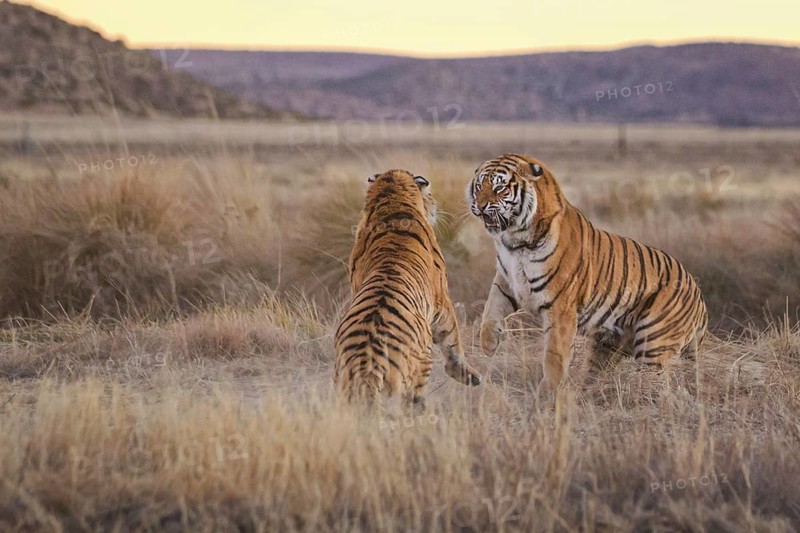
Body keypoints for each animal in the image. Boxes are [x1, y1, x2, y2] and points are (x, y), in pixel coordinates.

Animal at [334, 169, 482, 407]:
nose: (436, 204)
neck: (391, 201)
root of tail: (367, 365)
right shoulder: (442, 301)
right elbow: (452, 340)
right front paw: (469, 375)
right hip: (419, 366)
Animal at [467, 153, 708, 391]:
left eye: (500, 188)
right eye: (479, 186)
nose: (480, 206)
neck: (515, 242)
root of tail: (699, 296)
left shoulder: (560, 306)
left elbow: (554, 353)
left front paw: (548, 391)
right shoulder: (507, 282)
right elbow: (490, 310)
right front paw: (488, 344)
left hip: (653, 345)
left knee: (658, 387)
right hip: (605, 346)